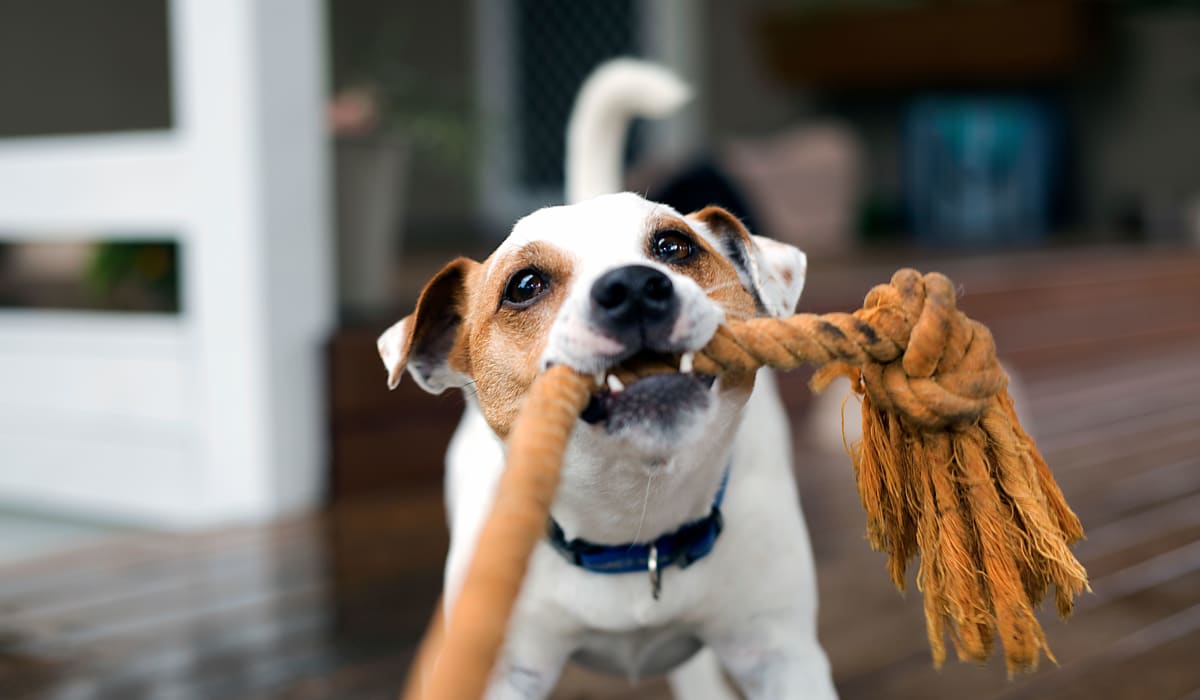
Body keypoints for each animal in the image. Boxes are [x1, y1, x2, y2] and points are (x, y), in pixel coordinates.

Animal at [379, 60, 840, 700]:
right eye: (524, 285)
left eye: (674, 245)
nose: (634, 288)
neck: (634, 528)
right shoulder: (504, 670)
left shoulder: (782, 656)